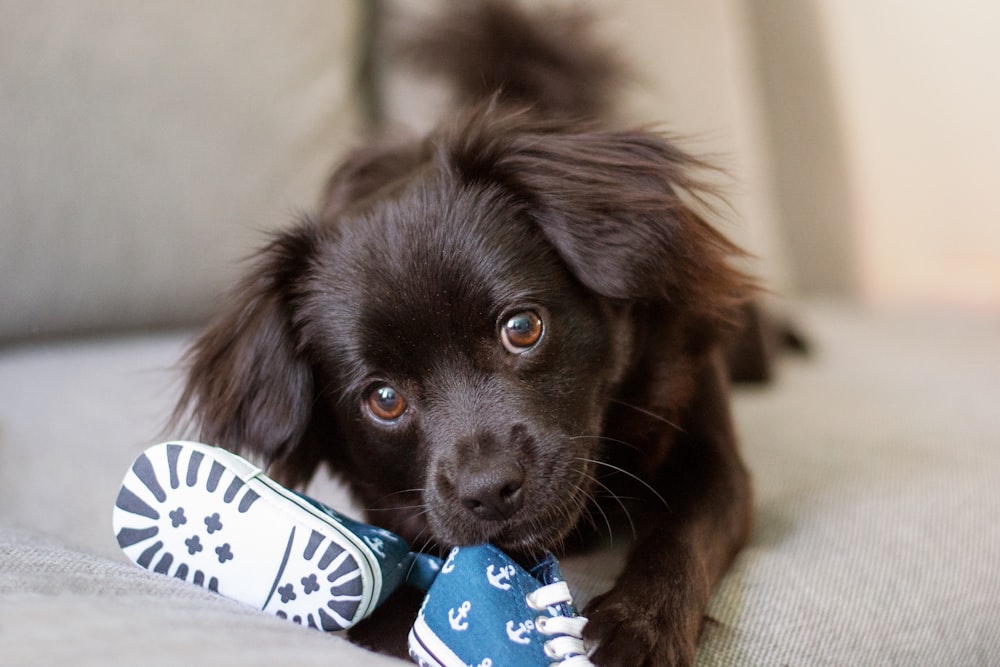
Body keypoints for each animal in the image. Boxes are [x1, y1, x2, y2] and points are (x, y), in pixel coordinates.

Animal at [178, 2, 756, 664]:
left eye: (522, 328)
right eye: (383, 399)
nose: (489, 490)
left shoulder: (713, 454)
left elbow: (684, 533)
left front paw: (640, 626)